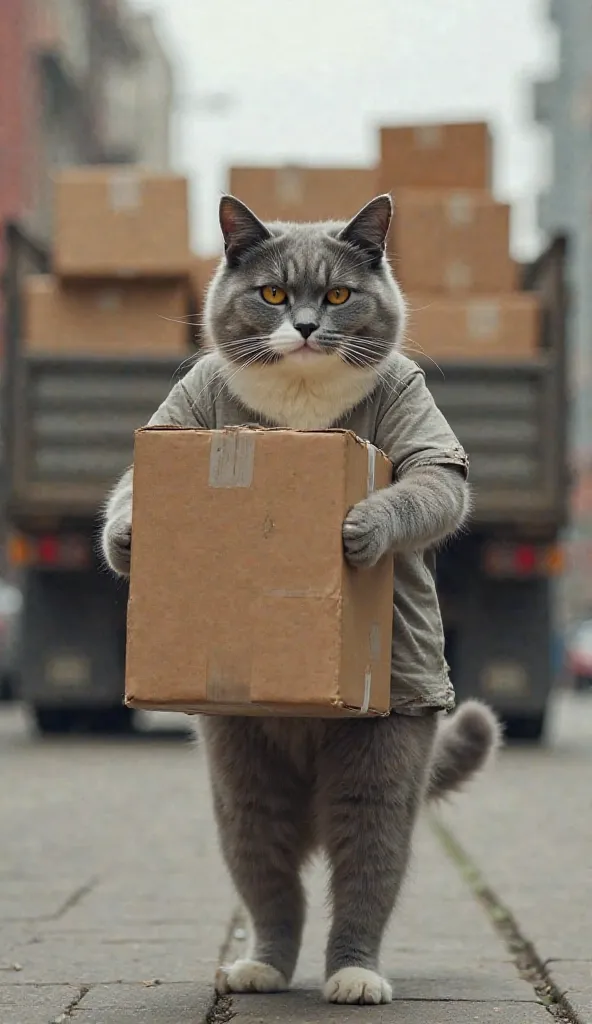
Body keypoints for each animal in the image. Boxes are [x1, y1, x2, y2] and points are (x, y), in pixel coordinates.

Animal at [101, 193, 497, 1007]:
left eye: (339, 296)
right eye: (275, 294)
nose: (309, 327)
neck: (300, 415)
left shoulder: (418, 418)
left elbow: (429, 487)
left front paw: (362, 525)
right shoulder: (180, 418)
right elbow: (127, 489)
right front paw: (128, 538)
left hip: (379, 770)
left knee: (364, 874)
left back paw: (354, 974)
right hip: (242, 782)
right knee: (272, 883)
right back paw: (261, 967)